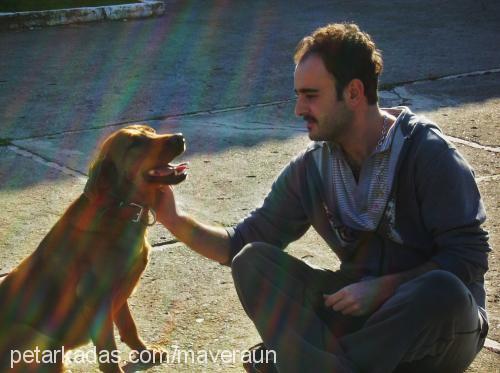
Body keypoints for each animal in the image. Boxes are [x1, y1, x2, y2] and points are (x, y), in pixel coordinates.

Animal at [0, 123, 188, 370]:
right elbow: (108, 353)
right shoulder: (96, 299)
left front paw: (145, 352)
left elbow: (129, 327)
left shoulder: (120, 291)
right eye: (135, 143)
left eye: (152, 131)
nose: (180, 137)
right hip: (34, 335)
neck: (119, 209)